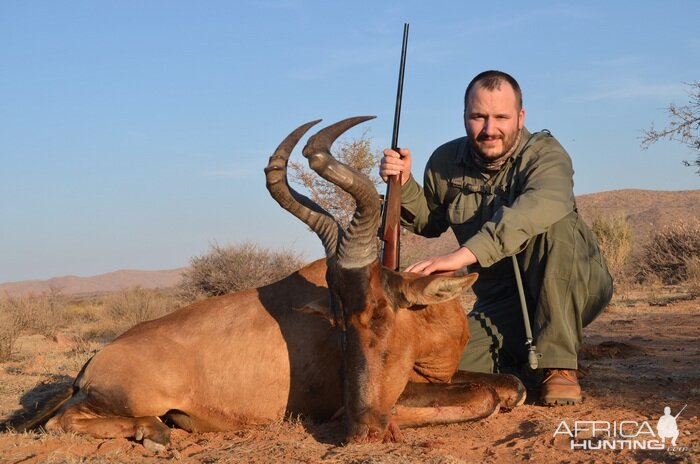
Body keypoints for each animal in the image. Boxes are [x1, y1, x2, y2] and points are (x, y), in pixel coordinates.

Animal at [8, 116, 524, 450]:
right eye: (339, 325)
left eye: (379, 314)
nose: (363, 430)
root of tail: (92, 363)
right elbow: (486, 397)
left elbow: (510, 386)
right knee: (60, 422)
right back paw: (152, 433)